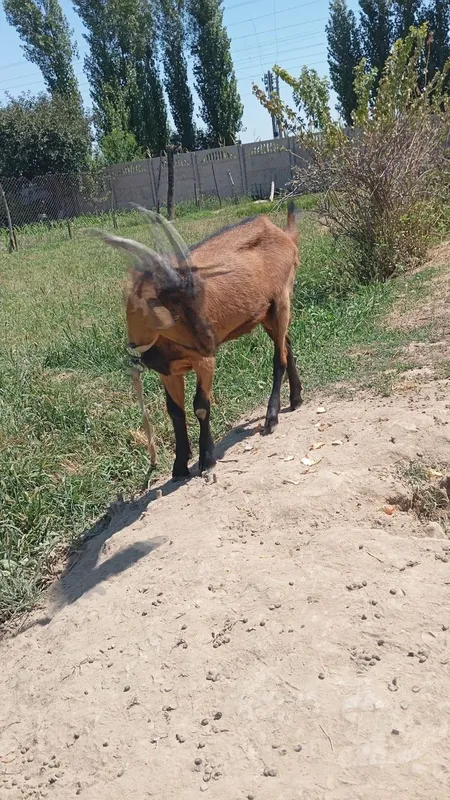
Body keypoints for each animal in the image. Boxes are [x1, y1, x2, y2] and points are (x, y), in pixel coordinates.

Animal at [97, 202, 302, 480]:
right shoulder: (168, 371)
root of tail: (283, 234)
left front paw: (207, 460)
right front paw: (179, 466)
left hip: (282, 300)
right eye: (174, 304)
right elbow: (175, 411)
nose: (209, 341)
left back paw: (271, 418)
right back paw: (296, 399)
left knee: (278, 357)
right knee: (287, 346)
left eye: (197, 296)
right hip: (266, 314)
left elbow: (200, 406)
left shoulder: (204, 362)